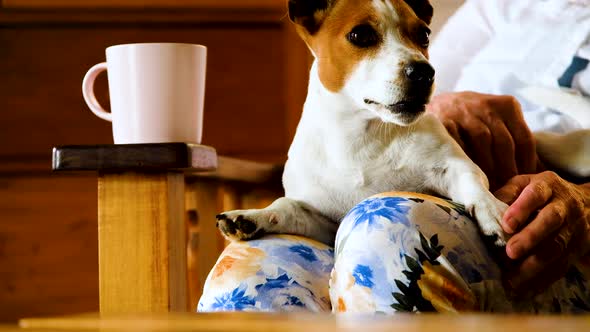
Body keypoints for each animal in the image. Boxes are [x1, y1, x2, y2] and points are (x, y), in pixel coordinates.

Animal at [217, 0, 590, 248]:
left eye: (423, 34)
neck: (363, 137)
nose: (424, 72)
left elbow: (473, 183)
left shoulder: (452, 166)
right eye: (360, 35)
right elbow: (286, 207)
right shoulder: (325, 222)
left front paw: (492, 212)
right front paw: (251, 216)